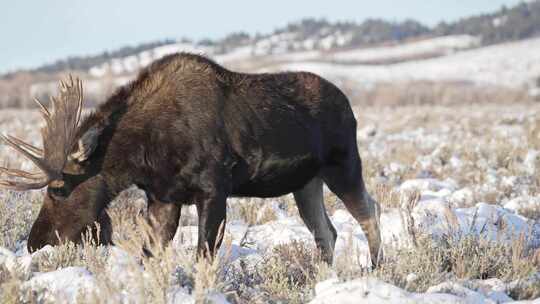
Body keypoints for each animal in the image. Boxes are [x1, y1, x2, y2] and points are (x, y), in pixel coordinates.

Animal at [0, 54, 382, 266]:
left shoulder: (213, 189)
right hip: (305, 183)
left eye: (57, 190)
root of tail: (350, 106)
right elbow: (149, 256)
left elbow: (203, 256)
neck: (141, 154)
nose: (34, 242)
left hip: (344, 166)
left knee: (369, 211)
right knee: (327, 232)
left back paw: (376, 268)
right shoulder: (163, 198)